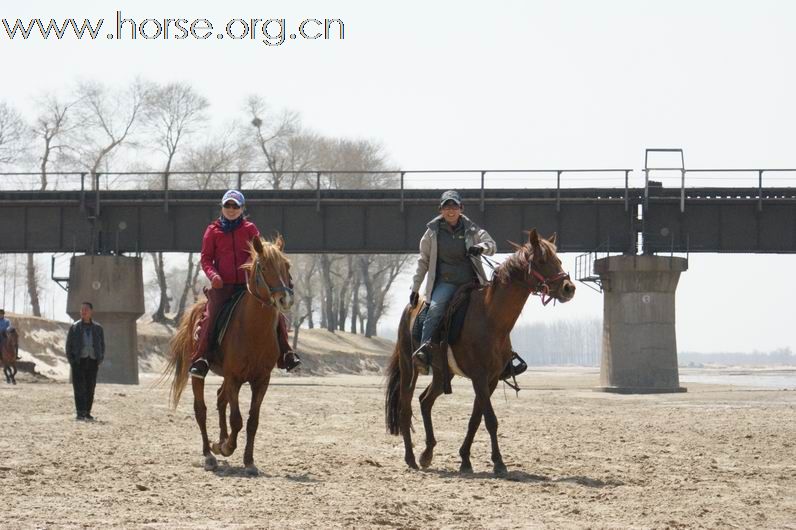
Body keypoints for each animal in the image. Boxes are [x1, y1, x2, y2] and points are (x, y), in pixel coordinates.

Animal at [166, 235, 294, 474]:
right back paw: (209, 454)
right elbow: (237, 419)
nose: (285, 300)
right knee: (201, 409)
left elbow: (252, 421)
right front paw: (225, 447)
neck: (254, 330)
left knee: (220, 398)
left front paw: (248, 461)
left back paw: (219, 441)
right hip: (200, 372)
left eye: (287, 265)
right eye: (263, 267)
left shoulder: (261, 380)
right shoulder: (234, 378)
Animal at [384, 229, 576, 472]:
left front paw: (465, 459)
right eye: (542, 260)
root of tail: (411, 307)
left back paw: (427, 453)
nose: (569, 288)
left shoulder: (491, 379)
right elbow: (490, 419)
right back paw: (410, 458)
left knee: (425, 401)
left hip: (442, 373)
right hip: (409, 368)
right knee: (405, 407)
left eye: (558, 259)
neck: (490, 318)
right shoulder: (479, 377)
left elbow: (476, 419)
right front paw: (499, 462)